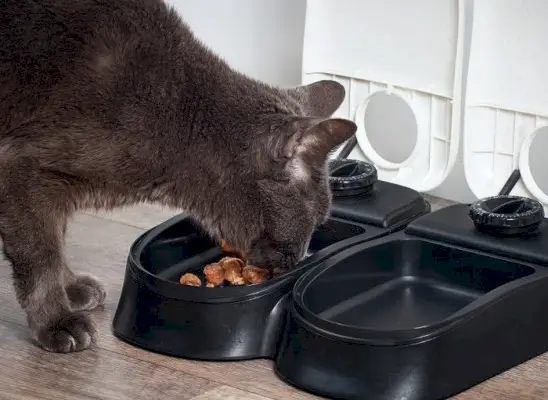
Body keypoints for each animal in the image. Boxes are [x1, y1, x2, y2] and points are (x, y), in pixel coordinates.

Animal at [0, 0, 356, 352]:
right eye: (315, 220)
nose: (300, 258)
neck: (185, 126)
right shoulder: (20, 167)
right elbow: (41, 254)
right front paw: (57, 321)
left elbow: (56, 235)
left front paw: (73, 288)